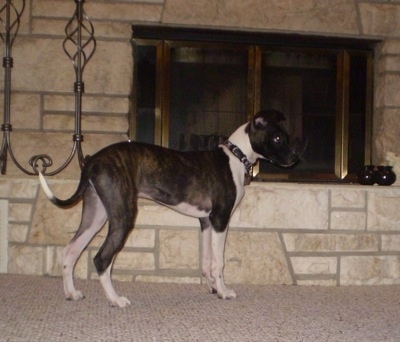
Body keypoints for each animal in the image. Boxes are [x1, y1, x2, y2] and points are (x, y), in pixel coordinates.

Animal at [39, 109, 300, 308]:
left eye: (286, 137)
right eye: (278, 138)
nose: (295, 160)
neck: (235, 157)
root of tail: (92, 160)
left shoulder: (206, 221)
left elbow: (206, 261)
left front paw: (212, 288)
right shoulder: (220, 219)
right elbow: (219, 262)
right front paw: (224, 291)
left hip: (97, 214)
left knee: (71, 250)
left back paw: (71, 293)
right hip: (123, 215)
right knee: (102, 258)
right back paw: (116, 300)